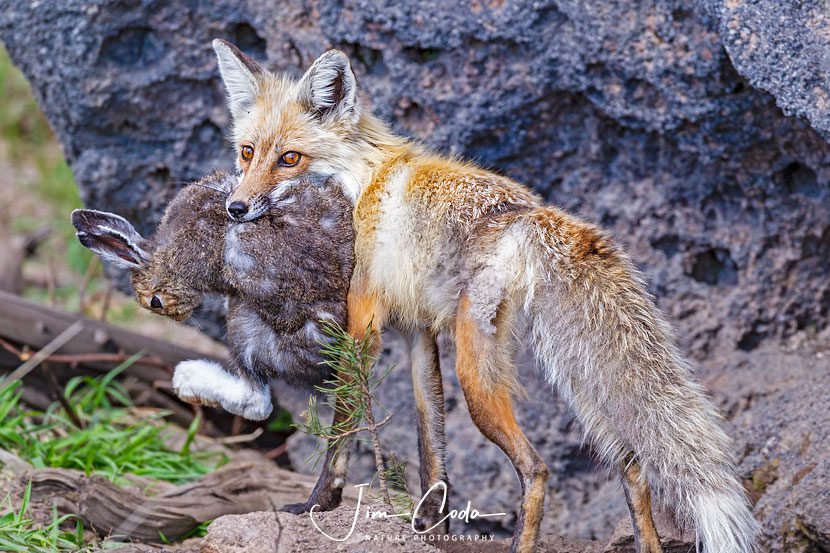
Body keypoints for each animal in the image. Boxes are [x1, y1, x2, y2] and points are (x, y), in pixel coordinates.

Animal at [71, 170, 356, 420]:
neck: (169, 256)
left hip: (245, 324)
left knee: (256, 402)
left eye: (155, 302)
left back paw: (187, 379)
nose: (178, 317)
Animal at [210, 38, 759, 553]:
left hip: (477, 371)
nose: (235, 208)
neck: (361, 182)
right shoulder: (418, 332)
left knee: (537, 468)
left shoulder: (362, 324)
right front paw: (432, 531)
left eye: (290, 159)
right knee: (633, 468)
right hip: (583, 387)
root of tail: (534, 214)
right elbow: (431, 445)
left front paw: (318, 503)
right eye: (247, 152)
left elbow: (343, 427)